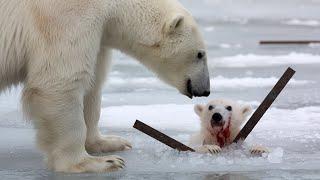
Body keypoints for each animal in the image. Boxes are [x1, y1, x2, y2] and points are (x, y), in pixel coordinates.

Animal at [0, 0, 211, 173]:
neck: (109, 5)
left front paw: (111, 142)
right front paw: (99, 163)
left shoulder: (99, 32)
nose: (205, 90)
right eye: (200, 54)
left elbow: (93, 83)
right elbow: (62, 81)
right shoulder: (63, 18)